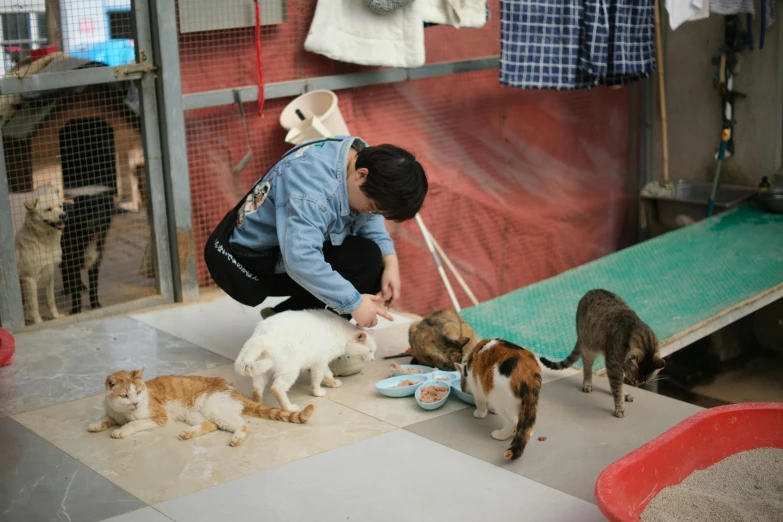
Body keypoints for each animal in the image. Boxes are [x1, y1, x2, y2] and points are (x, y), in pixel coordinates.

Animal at [15, 185, 67, 322]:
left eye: (60, 206)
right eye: (48, 209)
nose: (63, 215)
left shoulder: (50, 275)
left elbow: (51, 300)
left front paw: (56, 316)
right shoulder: (29, 279)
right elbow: (35, 305)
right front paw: (39, 322)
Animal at [88, 368, 316, 444]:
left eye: (139, 392)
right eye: (125, 395)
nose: (135, 402)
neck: (124, 412)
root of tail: (232, 388)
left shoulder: (158, 416)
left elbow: (134, 424)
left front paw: (121, 430)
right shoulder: (113, 412)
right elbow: (107, 418)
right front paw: (96, 425)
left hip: (213, 408)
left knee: (242, 425)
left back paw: (237, 438)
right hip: (195, 414)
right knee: (211, 425)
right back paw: (189, 434)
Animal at [234, 308, 378, 410]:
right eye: (370, 351)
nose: (372, 359)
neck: (342, 334)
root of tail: (262, 336)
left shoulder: (322, 361)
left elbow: (328, 374)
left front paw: (332, 383)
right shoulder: (320, 360)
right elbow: (317, 379)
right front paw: (318, 392)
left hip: (262, 371)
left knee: (257, 389)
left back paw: (259, 404)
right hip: (291, 370)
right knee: (277, 388)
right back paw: (289, 408)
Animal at [544, 286, 664, 416]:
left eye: (646, 381)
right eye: (634, 379)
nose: (636, 385)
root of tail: (590, 291)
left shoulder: (617, 366)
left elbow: (618, 386)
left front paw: (623, 394)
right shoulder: (613, 365)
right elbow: (617, 388)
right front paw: (619, 407)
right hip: (588, 347)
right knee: (587, 368)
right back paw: (587, 383)